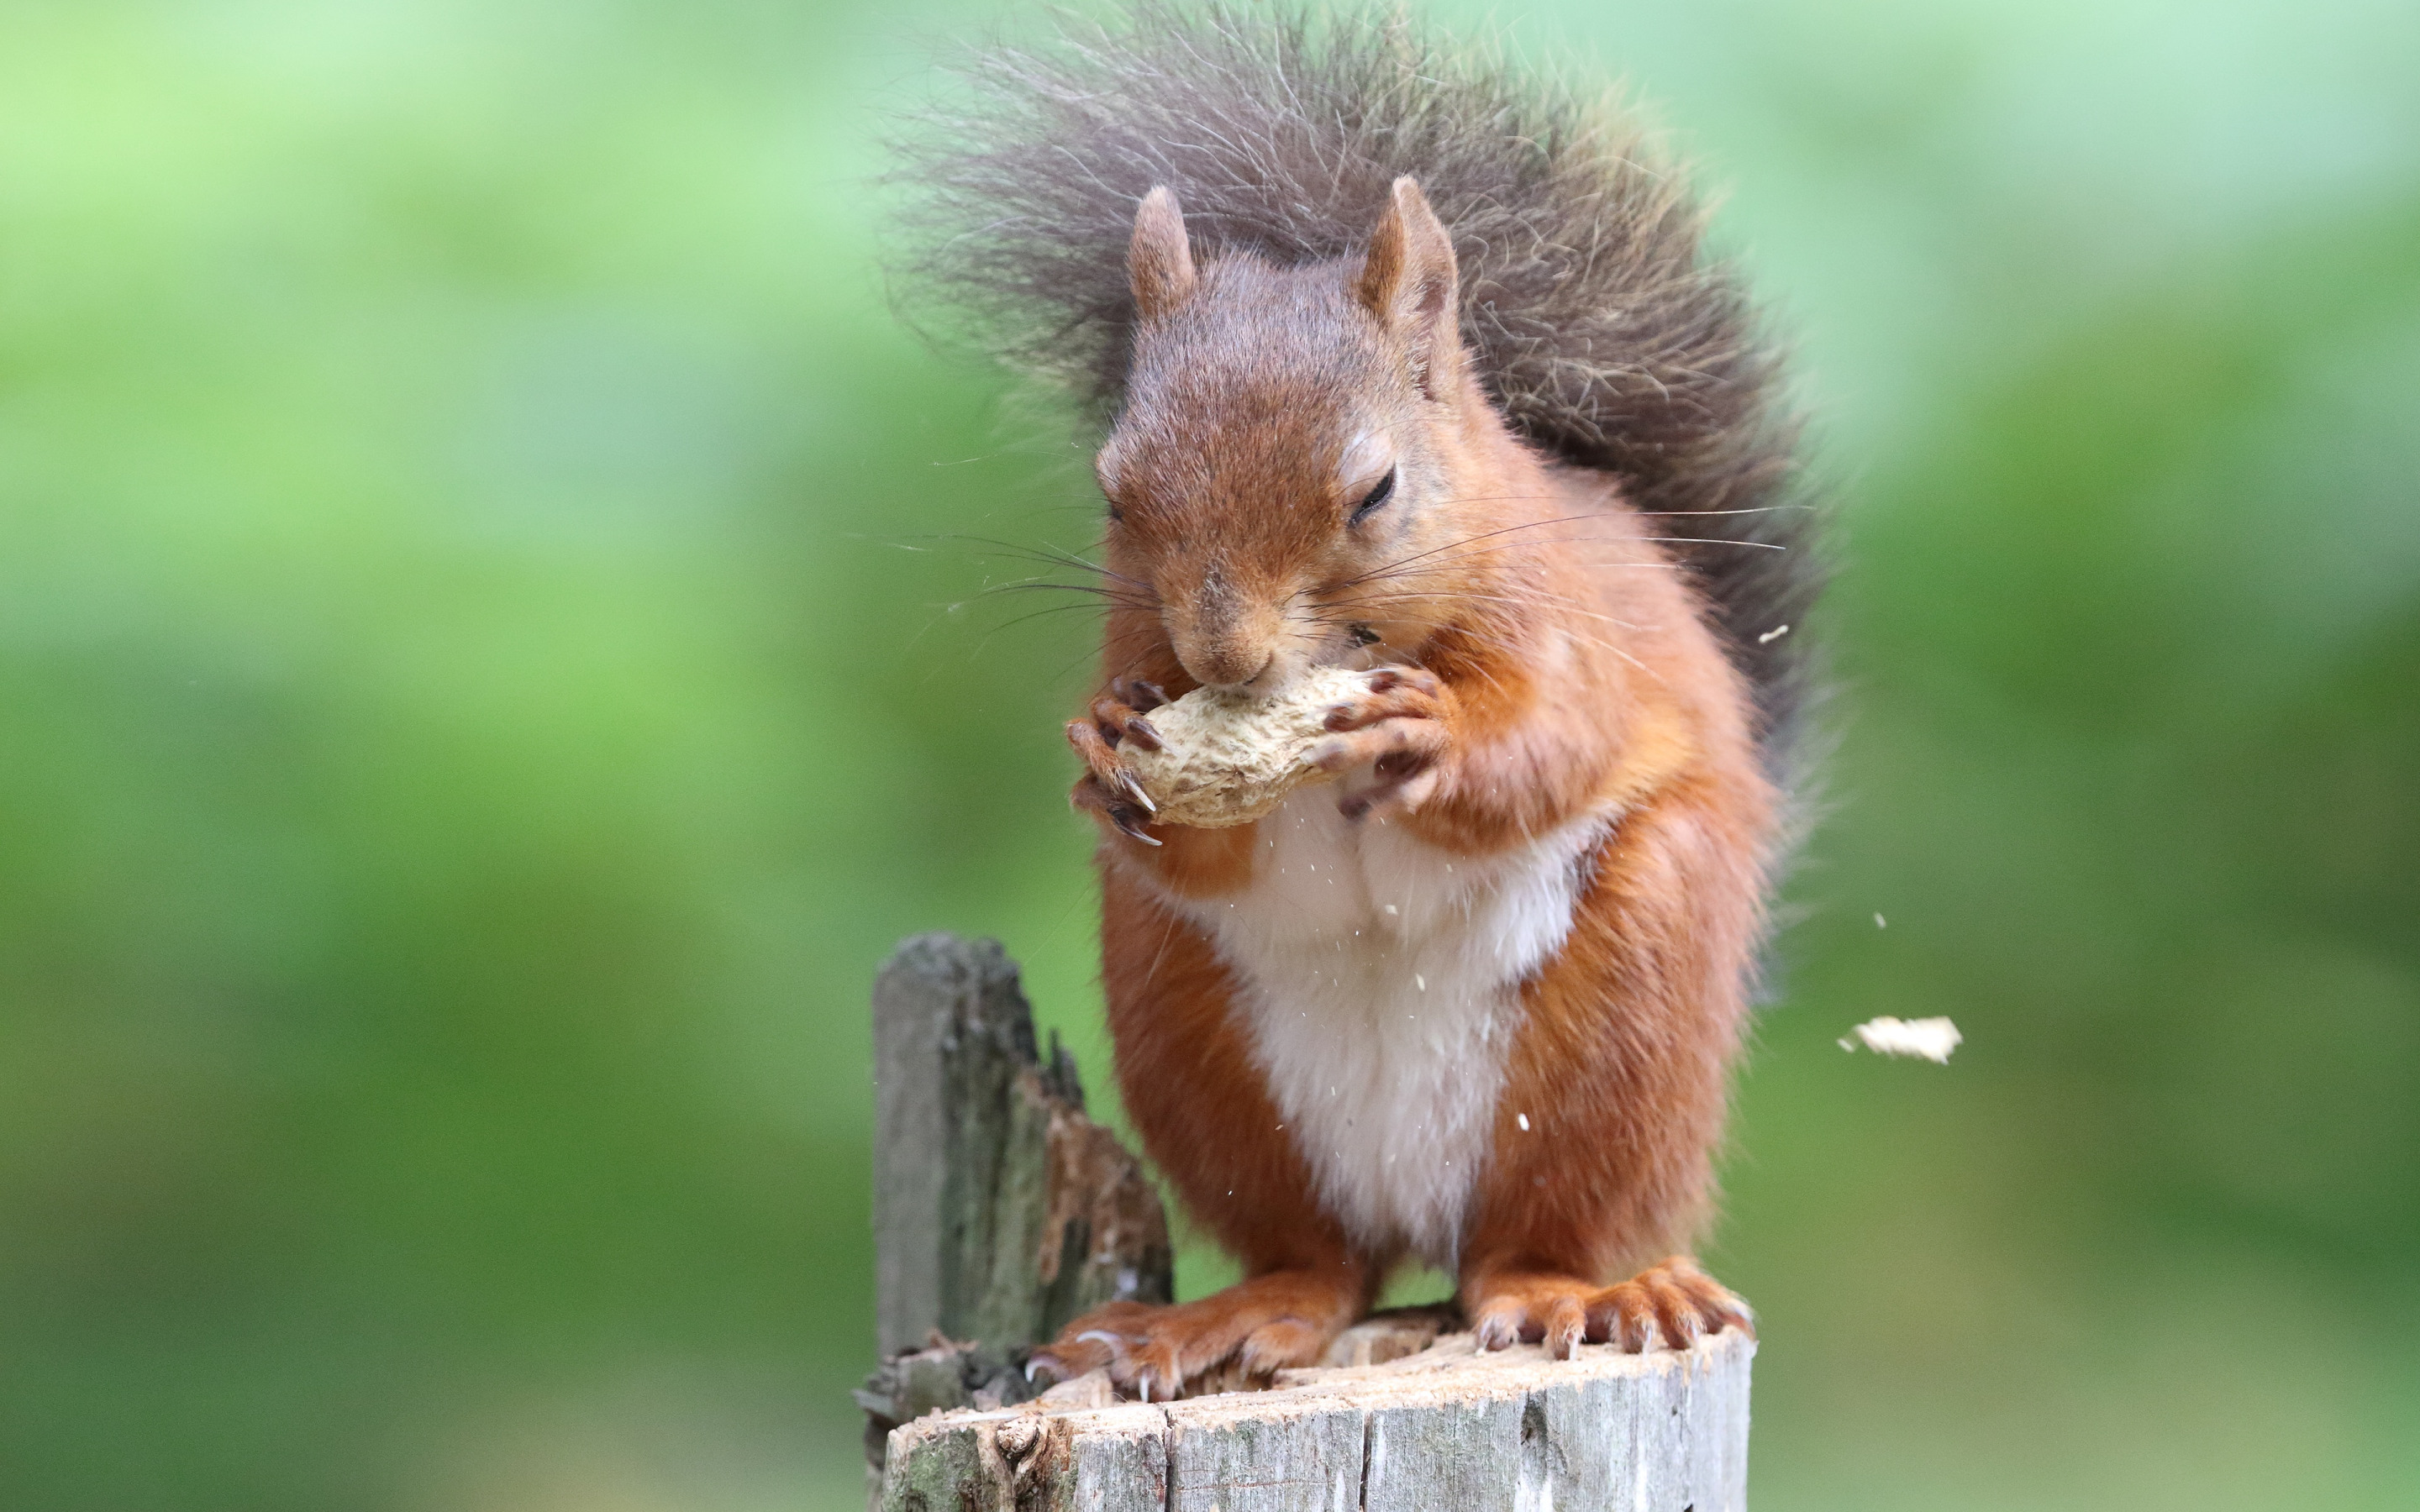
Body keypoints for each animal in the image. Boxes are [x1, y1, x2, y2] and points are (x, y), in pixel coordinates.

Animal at [900, 3, 1819, 1403]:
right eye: (1115, 491)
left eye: (1377, 491)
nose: (1223, 657)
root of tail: (1418, 1216)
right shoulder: (1135, 641)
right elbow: (1197, 835)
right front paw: (1109, 753)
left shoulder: (1571, 631)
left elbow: (1555, 744)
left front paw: (1425, 736)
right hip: (1193, 1034)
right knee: (1317, 1262)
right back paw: (1217, 1319)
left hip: (1628, 1012)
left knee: (1532, 1242)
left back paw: (1591, 1292)